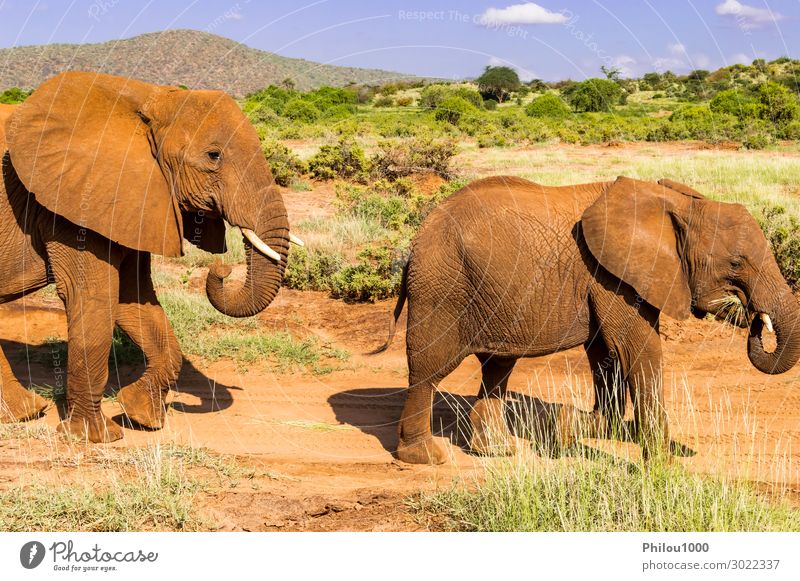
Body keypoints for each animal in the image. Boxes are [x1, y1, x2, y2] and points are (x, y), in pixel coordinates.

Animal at [0, 73, 300, 444]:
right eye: (213, 155)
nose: (222, 269)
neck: (149, 99)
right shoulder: (72, 204)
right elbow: (94, 298)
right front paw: (96, 438)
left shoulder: (134, 200)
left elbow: (134, 299)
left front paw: (141, 416)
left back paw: (24, 413)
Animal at [376, 174, 800, 464]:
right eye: (736, 263)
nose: (753, 317)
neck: (675, 203)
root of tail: (417, 239)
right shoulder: (613, 276)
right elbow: (637, 348)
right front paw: (661, 469)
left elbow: (606, 355)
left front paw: (568, 428)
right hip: (442, 287)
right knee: (429, 370)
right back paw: (424, 457)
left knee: (497, 368)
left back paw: (497, 451)